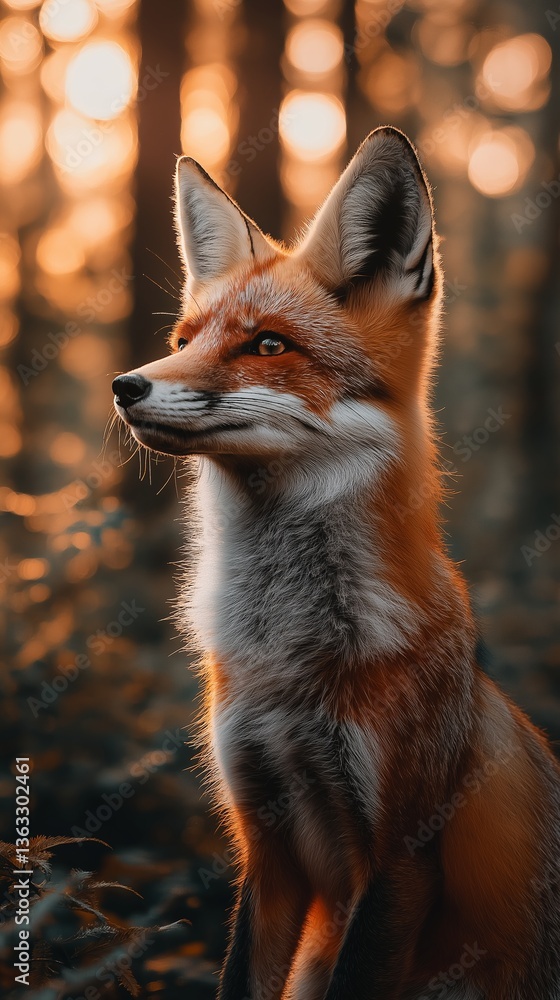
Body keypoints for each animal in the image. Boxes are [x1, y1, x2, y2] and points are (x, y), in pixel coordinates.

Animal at [113, 126, 560, 999]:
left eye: (267, 345)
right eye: (184, 341)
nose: (125, 386)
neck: (287, 665)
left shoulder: (400, 862)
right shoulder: (266, 848)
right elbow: (238, 978)